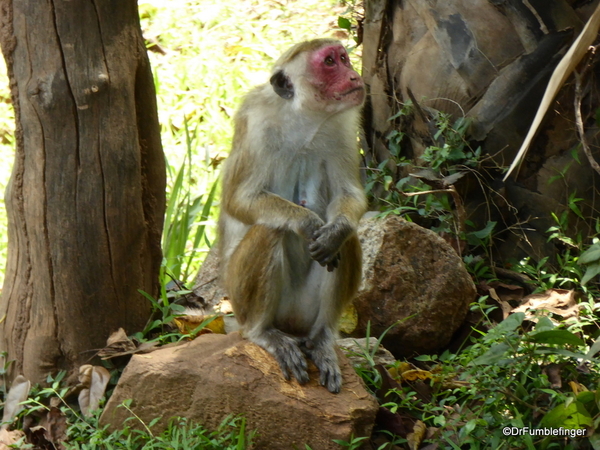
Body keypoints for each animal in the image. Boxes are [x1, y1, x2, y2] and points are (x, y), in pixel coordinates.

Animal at [217, 38, 366, 392]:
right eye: (329, 62)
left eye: (344, 58)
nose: (355, 75)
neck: (304, 120)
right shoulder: (255, 123)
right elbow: (239, 199)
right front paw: (305, 222)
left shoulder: (343, 127)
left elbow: (349, 197)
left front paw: (334, 231)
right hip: (241, 301)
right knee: (270, 228)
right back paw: (263, 333)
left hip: (305, 312)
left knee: (349, 238)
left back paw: (321, 340)